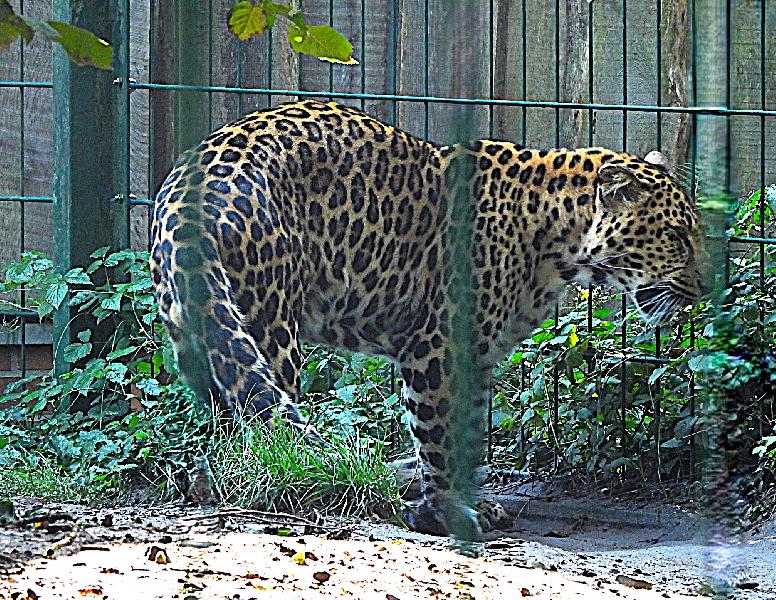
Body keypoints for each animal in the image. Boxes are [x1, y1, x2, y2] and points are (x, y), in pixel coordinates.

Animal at [150, 99, 704, 537]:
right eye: (676, 236)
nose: (702, 288)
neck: (558, 240)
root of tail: (185, 186)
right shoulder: (436, 347)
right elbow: (439, 434)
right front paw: (443, 512)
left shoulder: (478, 356)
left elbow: (467, 433)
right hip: (271, 324)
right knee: (262, 434)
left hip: (199, 331)